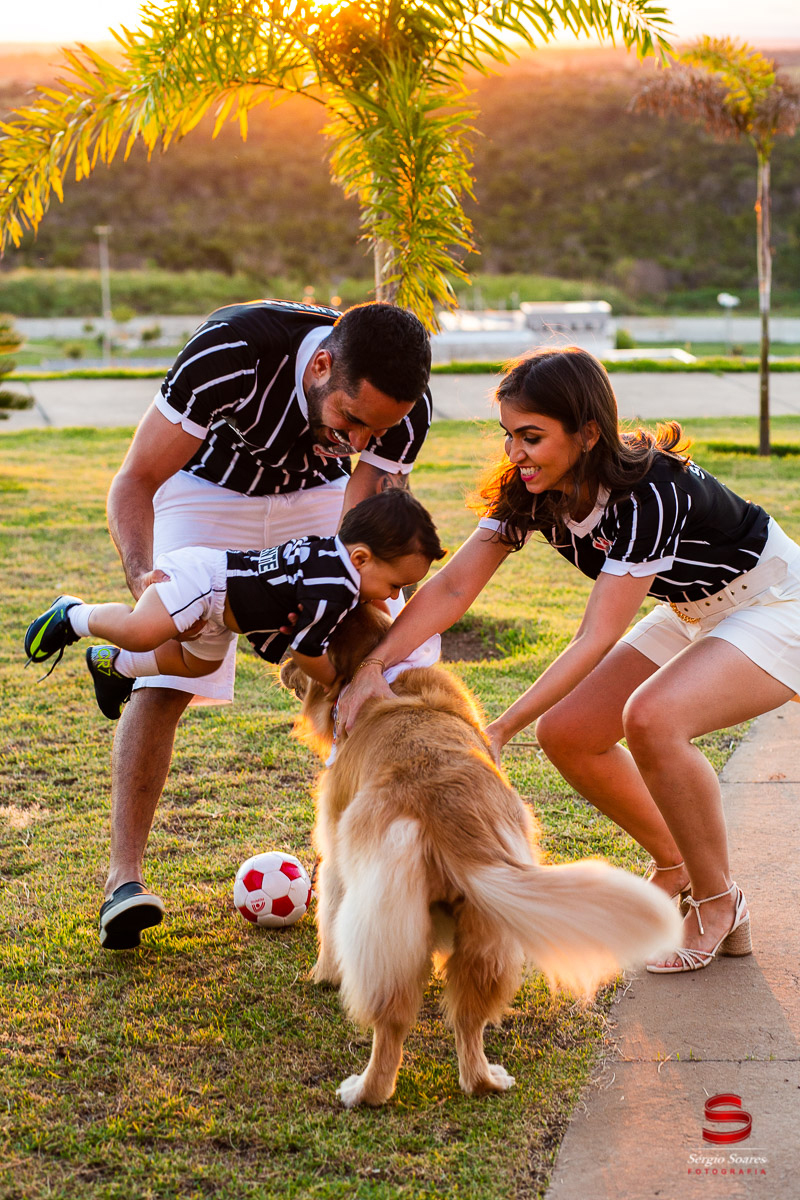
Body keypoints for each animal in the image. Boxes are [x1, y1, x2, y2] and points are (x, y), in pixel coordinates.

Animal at [281, 606, 681, 1108]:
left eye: (297, 645)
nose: (281, 667)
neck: (382, 673)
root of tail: (446, 808)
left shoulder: (335, 856)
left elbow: (328, 920)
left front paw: (323, 974)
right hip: (489, 928)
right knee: (468, 1022)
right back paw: (485, 1078)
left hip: (385, 919)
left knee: (391, 1024)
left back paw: (366, 1090)